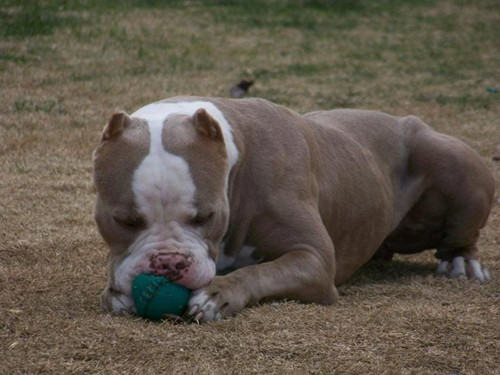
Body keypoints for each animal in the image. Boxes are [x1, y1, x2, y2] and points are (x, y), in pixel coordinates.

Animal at [92, 97, 494, 324]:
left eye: (206, 216)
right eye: (124, 220)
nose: (168, 263)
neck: (234, 159)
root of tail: (402, 119)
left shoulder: (314, 259)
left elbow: (261, 271)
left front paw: (218, 293)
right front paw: (115, 293)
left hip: (452, 158)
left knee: (462, 233)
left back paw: (461, 262)